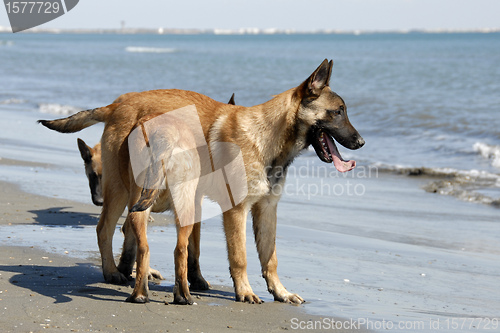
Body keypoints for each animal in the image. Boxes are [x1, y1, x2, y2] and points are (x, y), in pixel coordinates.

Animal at [40, 59, 364, 304]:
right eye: (338, 112)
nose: (361, 142)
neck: (265, 136)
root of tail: (118, 103)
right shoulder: (235, 211)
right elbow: (240, 256)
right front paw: (244, 292)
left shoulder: (266, 209)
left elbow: (268, 258)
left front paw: (280, 292)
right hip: (119, 190)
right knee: (105, 228)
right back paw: (113, 273)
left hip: (143, 195)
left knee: (132, 230)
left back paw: (136, 279)